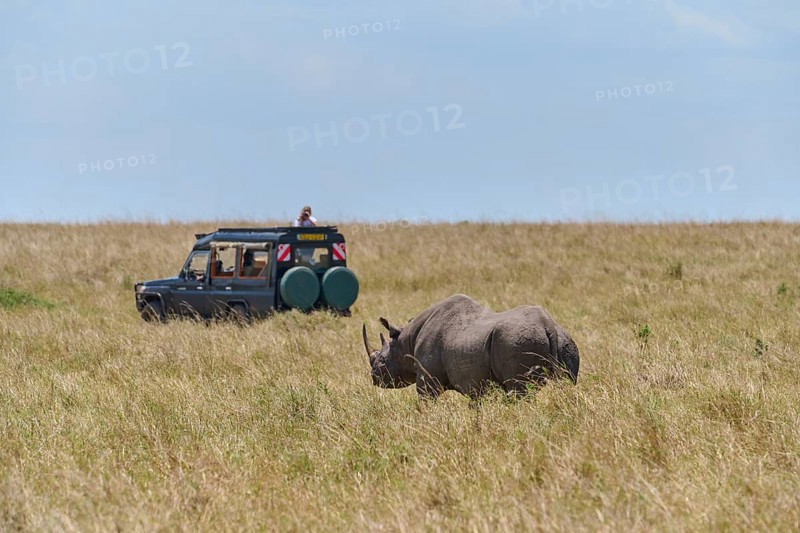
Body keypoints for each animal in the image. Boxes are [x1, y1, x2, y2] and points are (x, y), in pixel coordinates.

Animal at [362, 294, 579, 399]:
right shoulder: (476, 382)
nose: (373, 378)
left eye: (382, 361)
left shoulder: (427, 379)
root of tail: (547, 325)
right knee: (569, 384)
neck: (405, 342)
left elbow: (425, 400)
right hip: (566, 341)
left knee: (520, 391)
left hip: (516, 341)